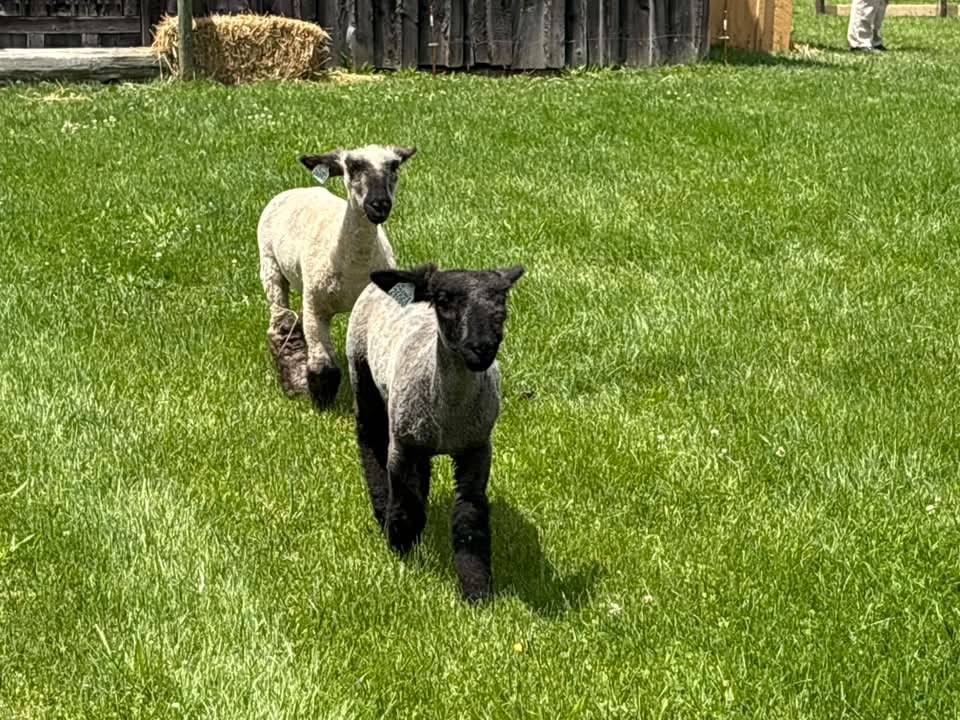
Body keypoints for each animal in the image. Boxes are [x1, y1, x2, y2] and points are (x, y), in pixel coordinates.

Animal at [257, 144, 416, 407]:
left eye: (394, 166)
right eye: (352, 166)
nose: (379, 204)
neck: (354, 266)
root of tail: (298, 189)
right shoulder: (316, 305)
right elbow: (323, 366)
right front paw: (321, 403)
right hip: (270, 265)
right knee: (281, 324)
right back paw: (295, 384)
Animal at [346, 262, 524, 601]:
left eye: (502, 300)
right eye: (443, 300)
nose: (483, 348)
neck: (449, 417)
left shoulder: (477, 449)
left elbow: (470, 519)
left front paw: (476, 590)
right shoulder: (401, 446)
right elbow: (405, 504)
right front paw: (401, 549)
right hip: (362, 373)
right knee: (369, 440)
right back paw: (381, 509)